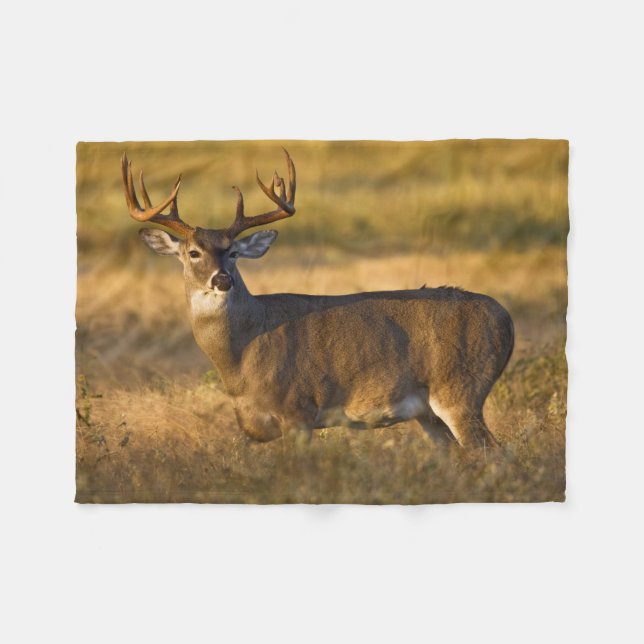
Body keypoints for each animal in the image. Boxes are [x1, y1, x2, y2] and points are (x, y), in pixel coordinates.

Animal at [121, 149, 514, 448]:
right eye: (193, 252)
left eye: (232, 252)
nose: (222, 280)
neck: (242, 355)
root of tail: (506, 320)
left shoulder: (298, 408)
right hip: (429, 413)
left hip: (460, 388)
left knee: (493, 454)